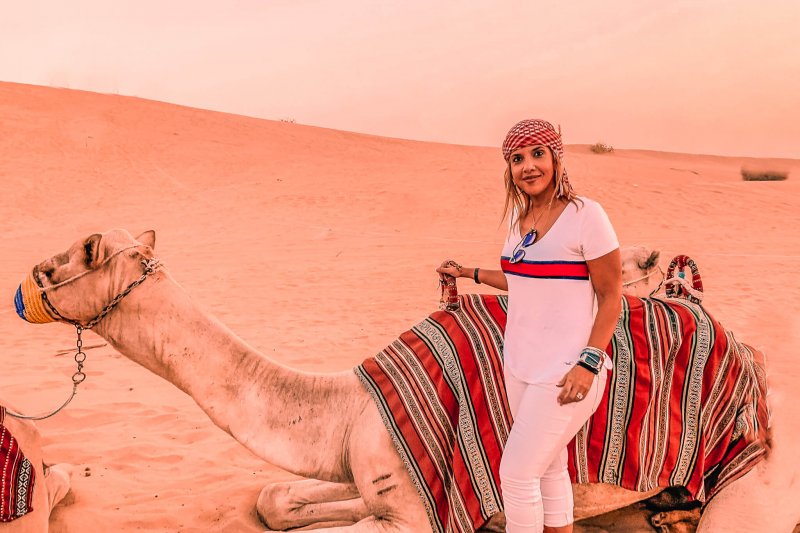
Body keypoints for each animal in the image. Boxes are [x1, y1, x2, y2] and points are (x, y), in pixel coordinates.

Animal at [6, 230, 792, 532]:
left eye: (70, 257)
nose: (24, 286)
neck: (345, 406)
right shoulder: (380, 476)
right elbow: (274, 497)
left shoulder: (417, 512)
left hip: (752, 477)